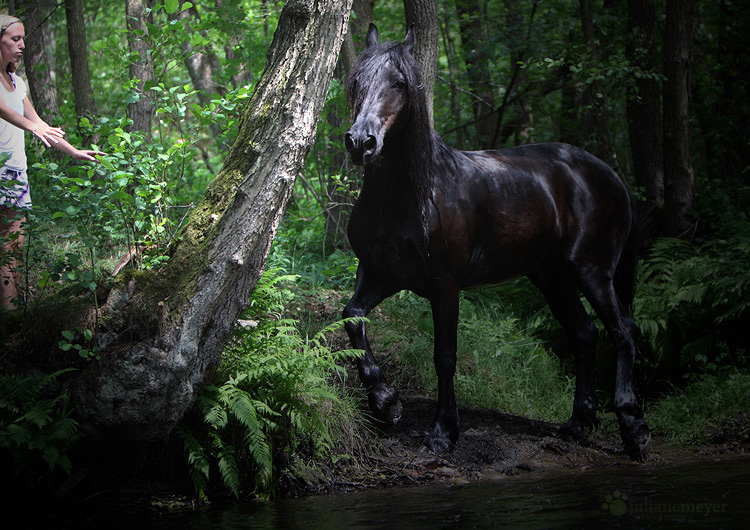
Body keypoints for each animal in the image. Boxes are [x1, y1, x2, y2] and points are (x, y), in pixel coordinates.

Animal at [342, 25, 652, 458]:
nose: (361, 142)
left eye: (399, 83)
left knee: (623, 331)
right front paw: (385, 402)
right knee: (585, 334)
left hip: (592, 271)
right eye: (356, 82)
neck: (409, 195)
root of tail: (608, 173)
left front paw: (443, 432)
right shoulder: (380, 274)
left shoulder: (444, 286)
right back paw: (577, 424)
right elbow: (352, 316)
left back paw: (633, 428)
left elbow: (444, 356)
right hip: (552, 277)